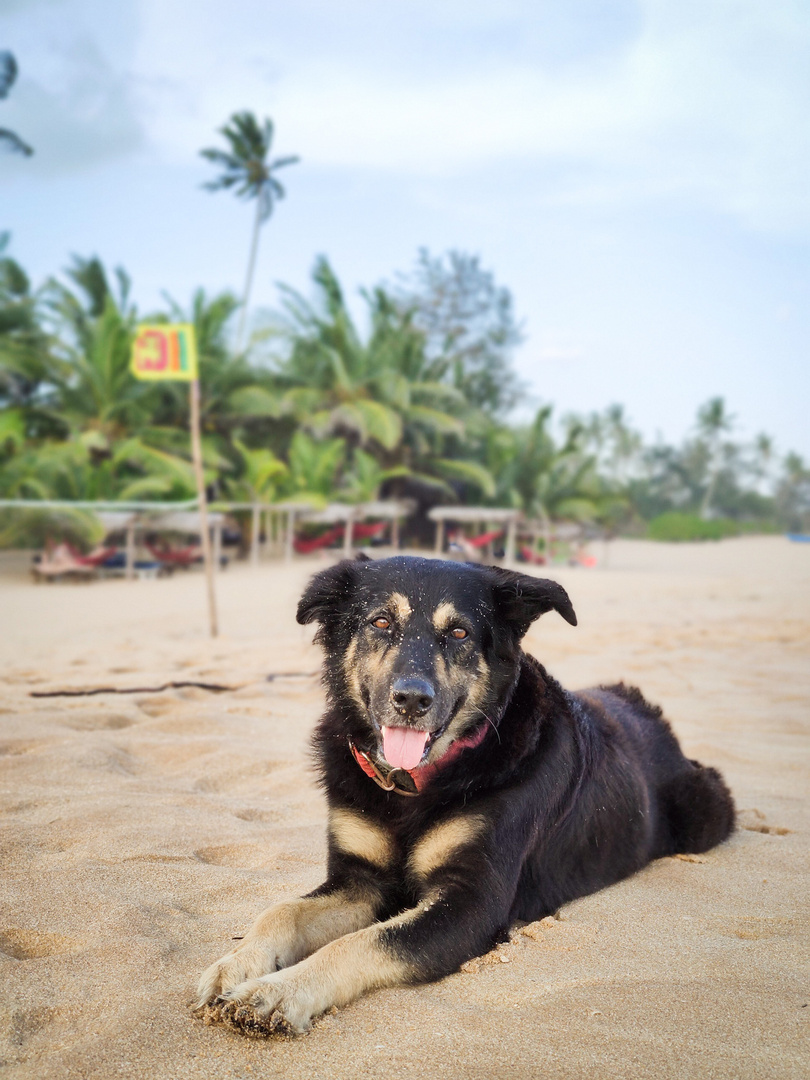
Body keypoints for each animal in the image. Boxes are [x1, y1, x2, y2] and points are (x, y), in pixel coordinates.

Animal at [196, 557, 734, 1036]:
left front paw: (278, 991)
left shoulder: (471, 903)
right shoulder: (360, 880)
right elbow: (281, 911)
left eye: (458, 634)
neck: (415, 785)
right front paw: (238, 963)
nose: (412, 700)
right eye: (381, 622)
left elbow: (361, 944)